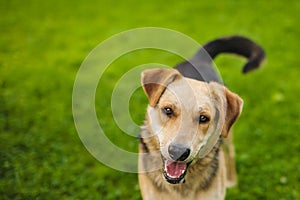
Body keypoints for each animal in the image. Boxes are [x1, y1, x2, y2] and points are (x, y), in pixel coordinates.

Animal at [138, 36, 264, 200]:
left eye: (203, 118)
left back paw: (231, 181)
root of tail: (198, 58)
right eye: (168, 110)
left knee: (230, 152)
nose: (177, 152)